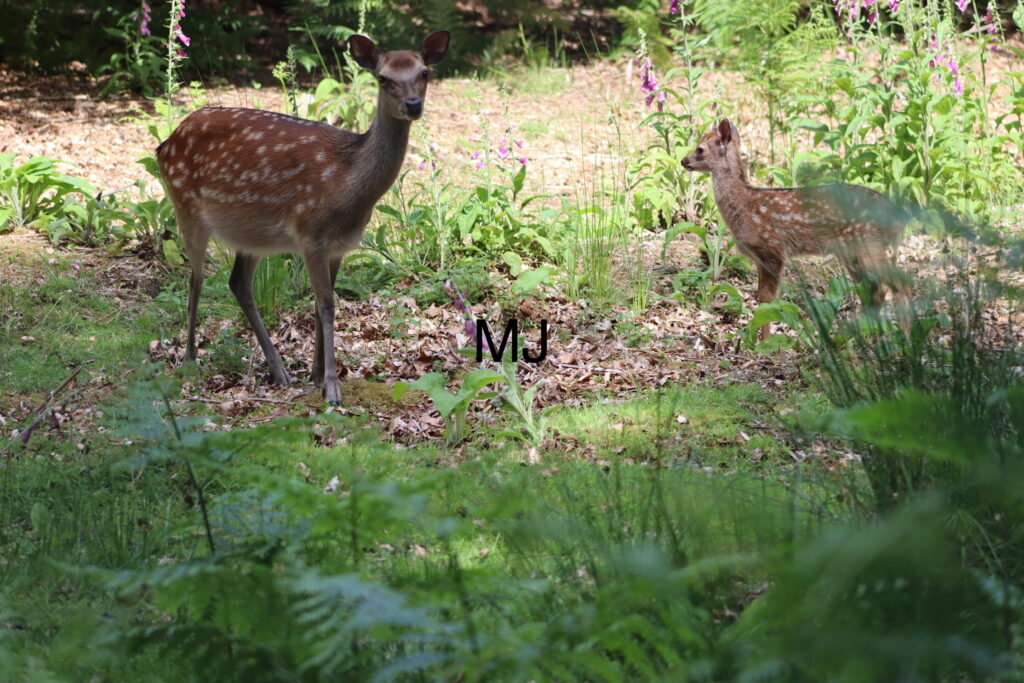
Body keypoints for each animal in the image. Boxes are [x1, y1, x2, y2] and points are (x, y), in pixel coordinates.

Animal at [157, 31, 450, 405]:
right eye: (383, 78)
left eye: (425, 72)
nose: (413, 105)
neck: (347, 186)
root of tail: (165, 143)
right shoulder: (309, 233)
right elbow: (326, 305)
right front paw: (332, 388)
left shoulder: (339, 245)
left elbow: (320, 303)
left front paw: (316, 375)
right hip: (186, 206)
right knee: (195, 280)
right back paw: (191, 360)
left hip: (252, 235)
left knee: (238, 283)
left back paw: (279, 371)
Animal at [681, 118, 909, 341]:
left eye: (700, 148)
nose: (684, 161)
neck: (744, 205)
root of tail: (899, 218)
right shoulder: (760, 258)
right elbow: (761, 297)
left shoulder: (773, 250)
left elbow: (766, 299)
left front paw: (764, 343)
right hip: (854, 253)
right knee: (875, 292)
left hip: (869, 244)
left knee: (898, 285)